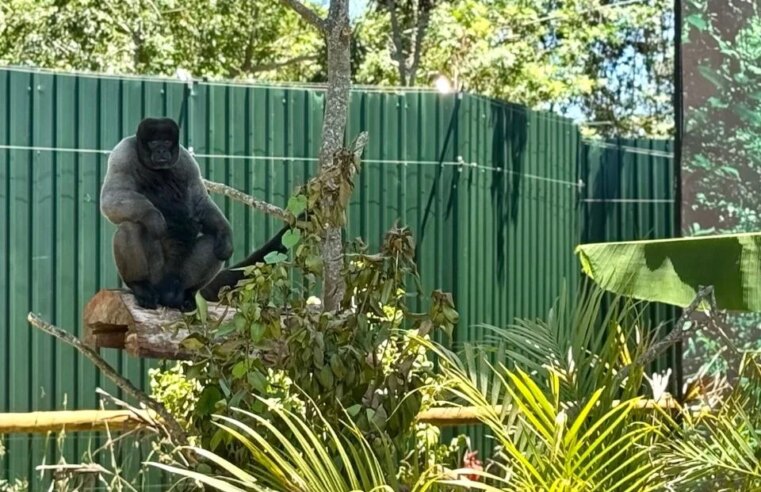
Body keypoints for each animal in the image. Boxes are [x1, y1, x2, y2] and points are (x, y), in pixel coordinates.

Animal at [101, 117, 233, 312]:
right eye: (154, 142)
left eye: (167, 142)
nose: (161, 150)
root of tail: (168, 292)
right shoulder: (122, 153)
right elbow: (112, 195)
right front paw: (154, 218)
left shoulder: (186, 160)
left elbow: (199, 201)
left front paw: (225, 234)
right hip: (156, 274)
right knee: (130, 226)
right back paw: (139, 285)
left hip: (179, 277)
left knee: (214, 242)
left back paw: (188, 294)